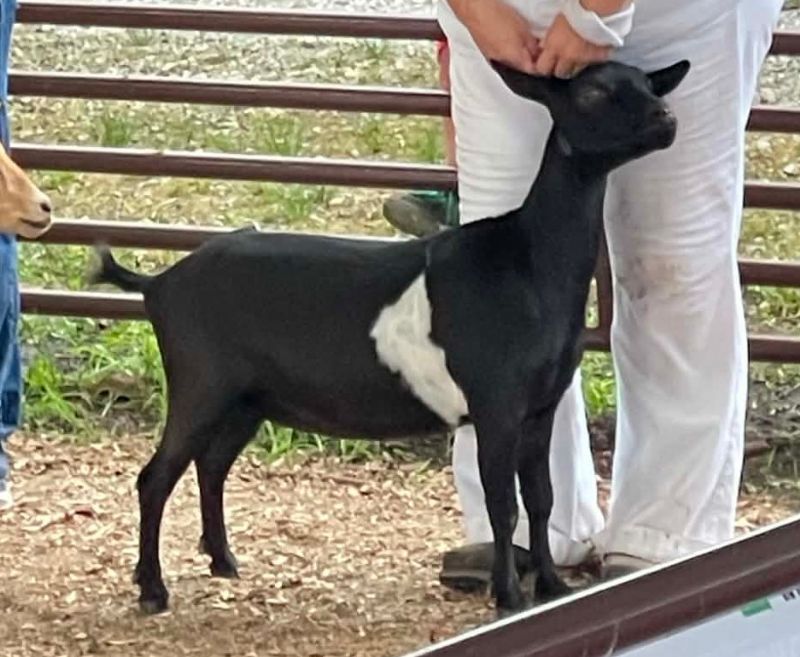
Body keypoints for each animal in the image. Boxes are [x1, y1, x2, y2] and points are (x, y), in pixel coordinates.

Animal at [91, 59, 689, 616]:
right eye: (592, 92)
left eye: (648, 83)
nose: (666, 119)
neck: (525, 260)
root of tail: (158, 284)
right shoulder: (495, 403)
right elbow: (504, 506)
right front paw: (509, 597)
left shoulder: (541, 406)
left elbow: (540, 498)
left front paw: (552, 588)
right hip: (200, 384)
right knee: (156, 477)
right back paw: (153, 590)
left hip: (247, 398)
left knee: (211, 464)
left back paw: (222, 560)